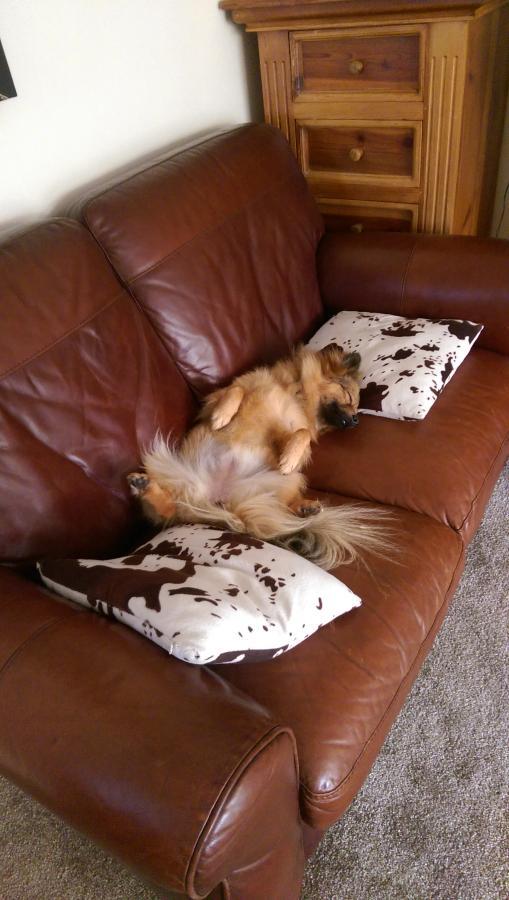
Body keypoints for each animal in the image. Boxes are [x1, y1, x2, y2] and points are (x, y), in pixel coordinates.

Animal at [128, 344, 390, 570]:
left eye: (356, 408)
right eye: (348, 396)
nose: (356, 420)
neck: (296, 395)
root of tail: (220, 502)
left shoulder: (289, 434)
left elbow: (302, 434)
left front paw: (289, 458)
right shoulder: (215, 399)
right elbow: (236, 390)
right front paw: (222, 417)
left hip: (290, 480)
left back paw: (305, 508)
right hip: (175, 474)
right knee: (171, 508)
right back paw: (144, 485)